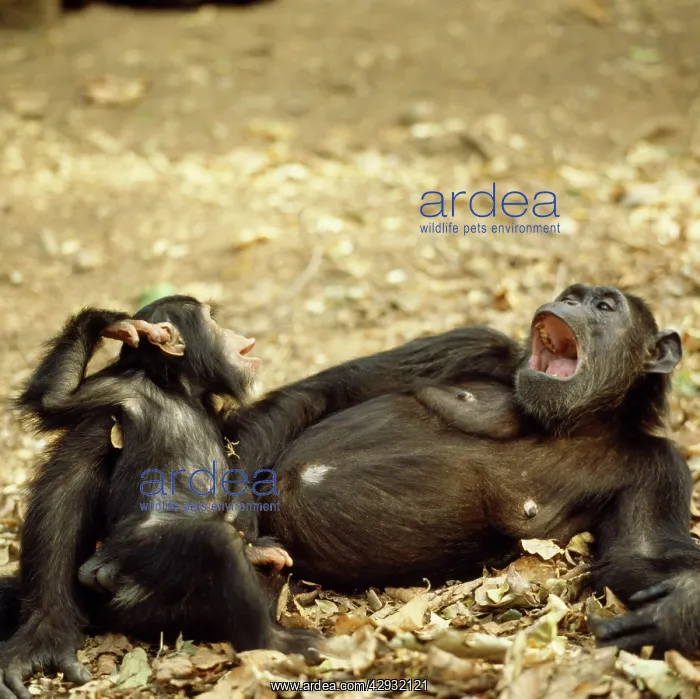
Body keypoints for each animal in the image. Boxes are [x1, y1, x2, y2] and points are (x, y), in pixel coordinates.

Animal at [0, 296, 313, 699]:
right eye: (211, 320)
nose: (232, 332)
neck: (180, 390)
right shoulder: (121, 390)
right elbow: (57, 399)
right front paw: (112, 323)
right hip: (138, 553)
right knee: (214, 543)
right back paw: (273, 641)